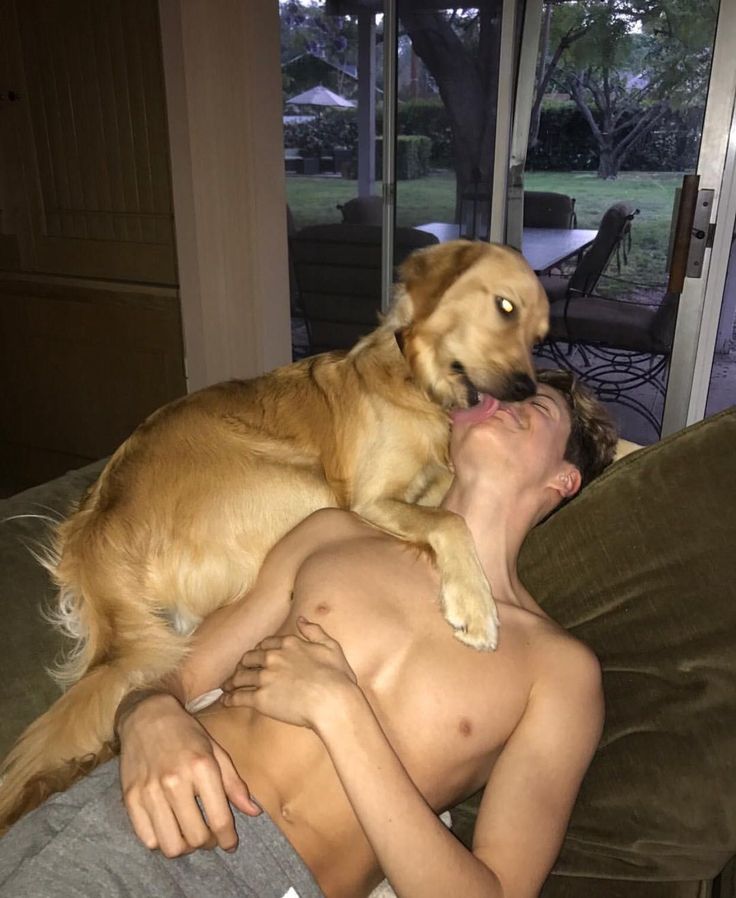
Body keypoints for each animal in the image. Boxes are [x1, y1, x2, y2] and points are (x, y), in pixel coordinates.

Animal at [0, 240, 548, 832]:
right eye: (505, 307)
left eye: (541, 337)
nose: (528, 390)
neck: (415, 381)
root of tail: (100, 536)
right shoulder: (368, 498)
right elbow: (451, 519)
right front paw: (475, 607)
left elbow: (446, 497)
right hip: (308, 492)